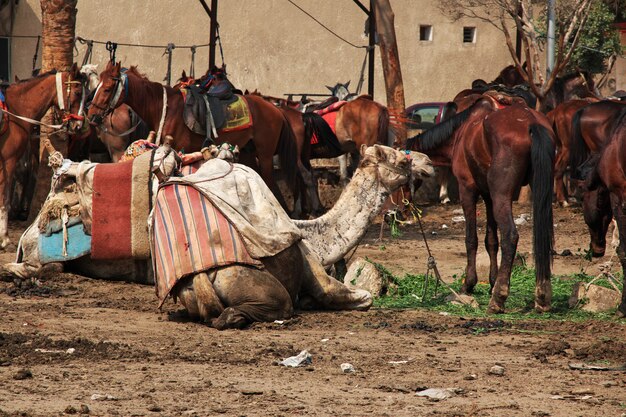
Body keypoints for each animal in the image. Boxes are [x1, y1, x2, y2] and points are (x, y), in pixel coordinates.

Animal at [0, 63, 88, 249]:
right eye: (77, 92)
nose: (78, 126)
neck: (14, 113)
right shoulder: (8, 162)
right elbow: (4, 198)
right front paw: (4, 238)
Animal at [87, 60, 298, 210]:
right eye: (96, 87)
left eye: (107, 89)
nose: (91, 116)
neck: (164, 107)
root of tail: (276, 108)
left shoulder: (178, 151)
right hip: (248, 153)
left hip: (265, 155)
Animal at [161, 145, 432, 328]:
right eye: (402, 160)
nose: (429, 162)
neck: (315, 238)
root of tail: (199, 276)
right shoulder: (317, 272)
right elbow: (363, 297)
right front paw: (311, 300)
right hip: (256, 288)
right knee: (258, 309)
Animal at [404, 96, 556, 312]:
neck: (460, 133)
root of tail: (532, 123)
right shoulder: (488, 195)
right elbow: (491, 241)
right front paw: (492, 281)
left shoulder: (467, 190)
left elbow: (471, 239)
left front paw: (469, 284)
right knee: (543, 237)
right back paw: (542, 297)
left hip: (502, 196)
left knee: (510, 236)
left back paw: (498, 299)